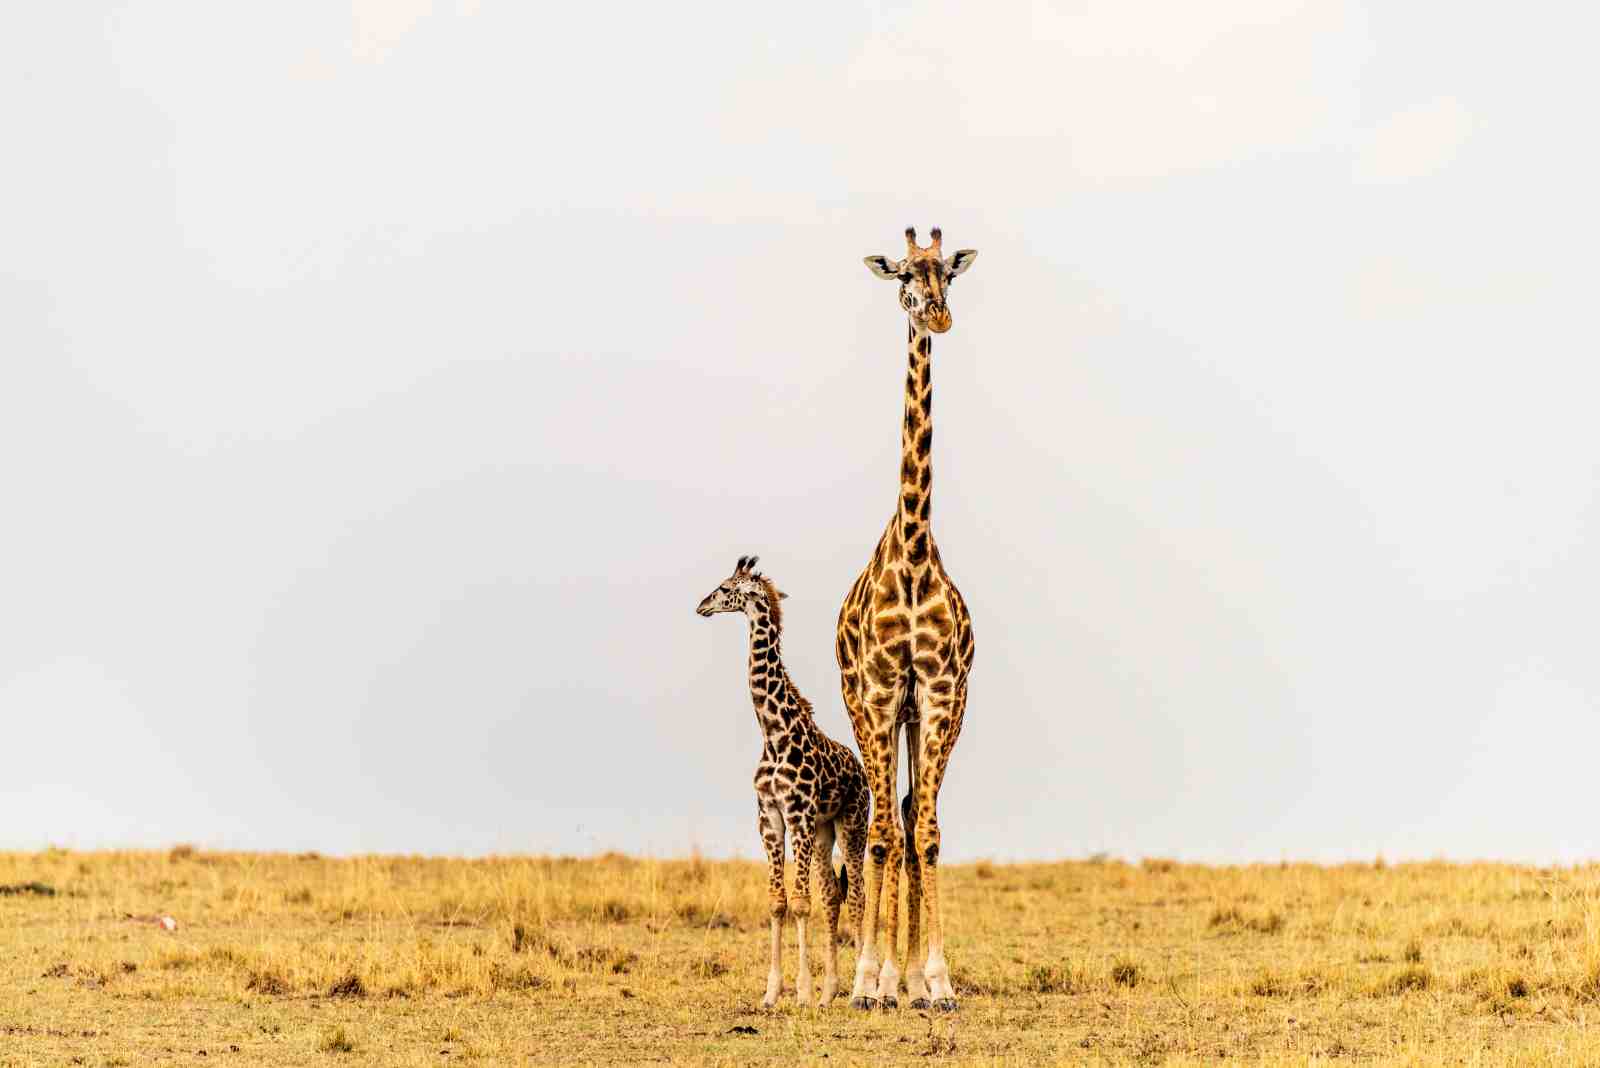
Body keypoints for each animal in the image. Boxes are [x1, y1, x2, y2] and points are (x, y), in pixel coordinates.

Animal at [697, 555, 869, 1008]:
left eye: (725, 588)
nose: (701, 606)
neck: (774, 734)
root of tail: (861, 771)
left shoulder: (799, 814)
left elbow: (801, 902)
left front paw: (803, 992)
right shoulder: (769, 816)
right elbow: (778, 902)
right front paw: (773, 992)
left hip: (851, 823)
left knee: (858, 894)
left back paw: (861, 987)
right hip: (825, 831)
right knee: (833, 895)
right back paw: (831, 991)